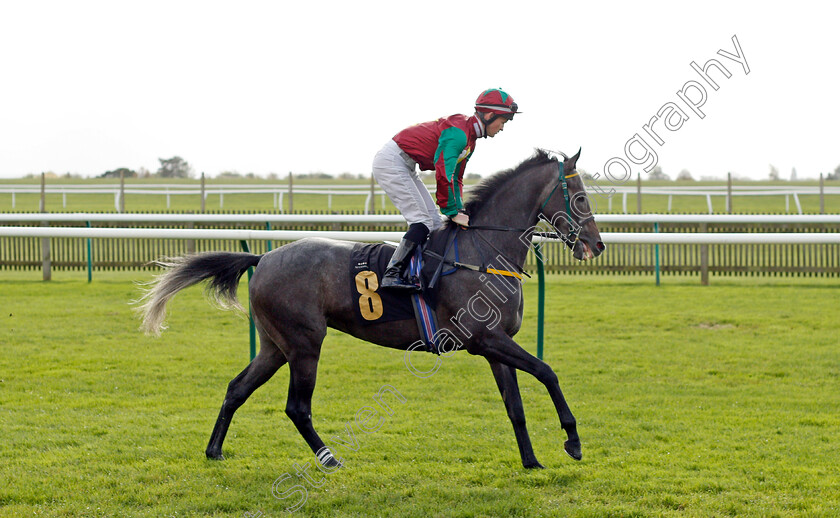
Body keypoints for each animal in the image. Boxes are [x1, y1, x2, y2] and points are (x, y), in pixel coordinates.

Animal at [141, 149, 608, 472]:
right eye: (581, 196)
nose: (596, 245)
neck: (482, 251)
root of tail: (263, 257)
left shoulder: (498, 344)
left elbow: (515, 406)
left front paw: (531, 461)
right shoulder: (484, 340)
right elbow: (548, 372)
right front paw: (572, 441)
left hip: (275, 345)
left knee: (237, 388)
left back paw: (214, 451)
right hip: (305, 343)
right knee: (297, 407)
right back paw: (329, 458)